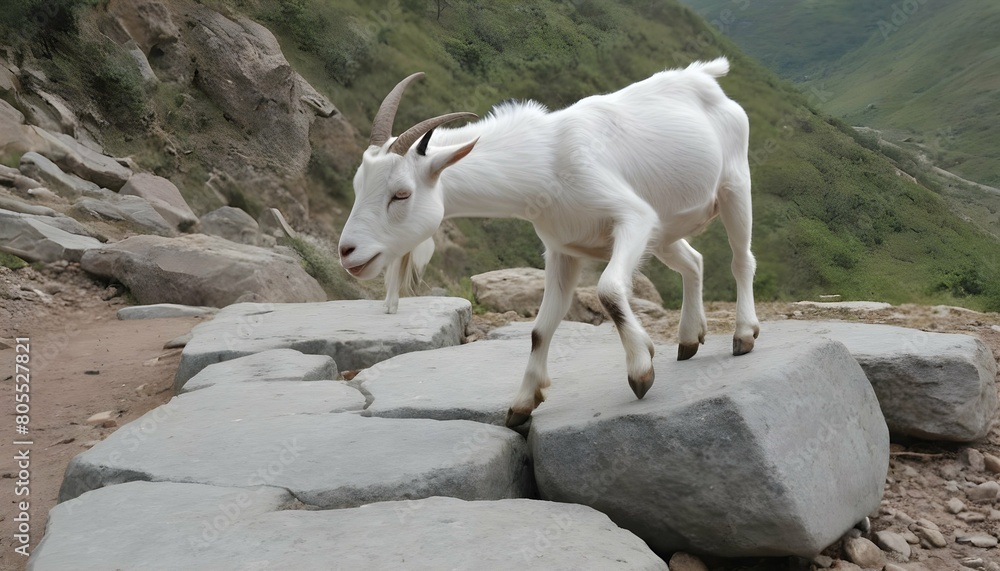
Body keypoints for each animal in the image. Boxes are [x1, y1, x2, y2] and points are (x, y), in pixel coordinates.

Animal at [340, 58, 760, 426]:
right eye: (358, 185)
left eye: (401, 194)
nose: (347, 252)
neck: (547, 161)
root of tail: (705, 77)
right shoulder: (563, 250)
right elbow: (541, 328)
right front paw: (523, 403)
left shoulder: (634, 218)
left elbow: (608, 290)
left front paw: (641, 369)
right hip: (665, 230)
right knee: (694, 261)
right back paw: (689, 339)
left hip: (734, 185)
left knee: (742, 260)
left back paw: (743, 335)